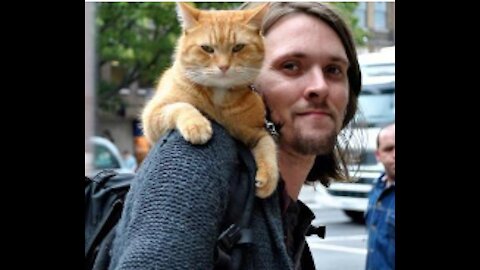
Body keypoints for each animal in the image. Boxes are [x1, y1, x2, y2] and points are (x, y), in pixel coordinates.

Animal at [141, 2, 278, 198]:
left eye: (238, 47)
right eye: (207, 48)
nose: (224, 67)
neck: (218, 96)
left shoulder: (257, 131)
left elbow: (268, 147)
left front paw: (269, 178)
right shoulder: (152, 116)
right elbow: (181, 106)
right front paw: (197, 125)